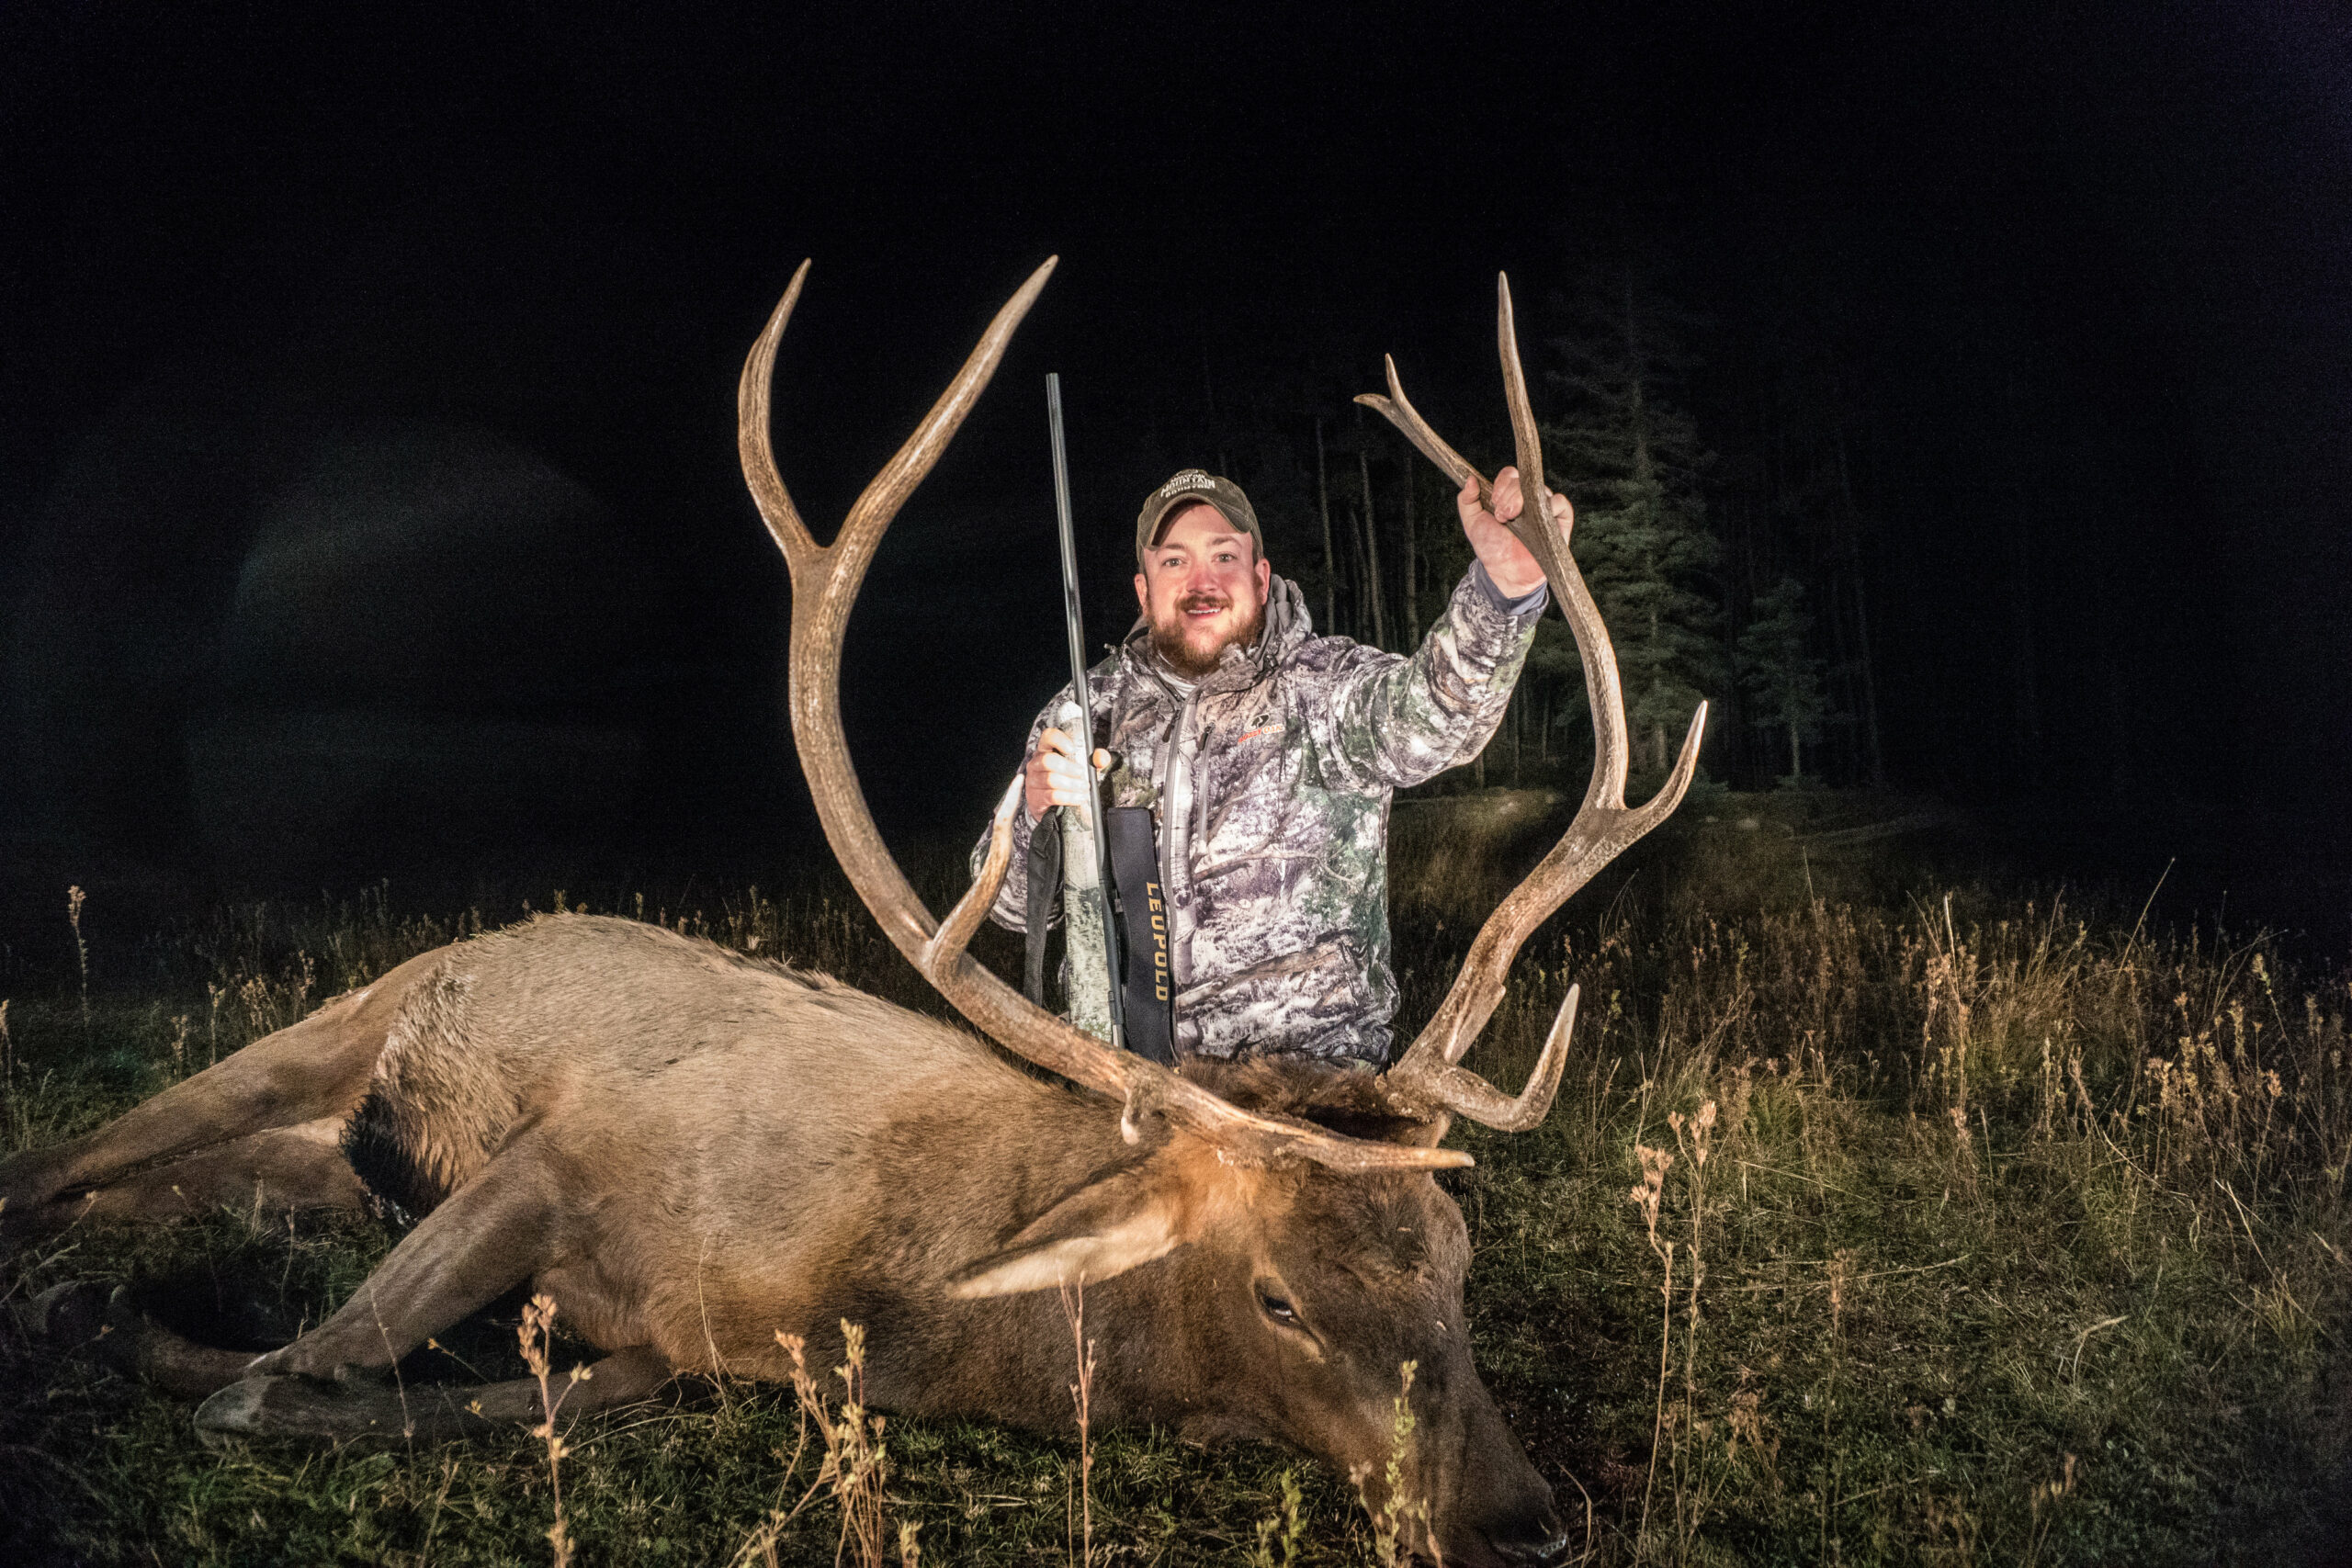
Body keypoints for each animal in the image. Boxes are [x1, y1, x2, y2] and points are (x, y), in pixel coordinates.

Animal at [0, 259, 1704, 1567]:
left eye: (1455, 1263)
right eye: (1280, 1292)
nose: (1527, 1523)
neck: (880, 1300)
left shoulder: (673, 1343)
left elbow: (554, 1389)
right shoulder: (563, 1155)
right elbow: (271, 1384)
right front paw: (159, 1342)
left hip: (309, 1161)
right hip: (324, 1028)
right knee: (63, 1158)